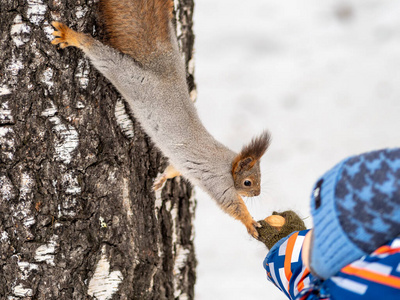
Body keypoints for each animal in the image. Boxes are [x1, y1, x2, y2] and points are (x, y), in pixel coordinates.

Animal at [49, 0, 268, 239]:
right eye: (248, 182)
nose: (257, 193)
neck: (228, 165)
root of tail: (164, 69)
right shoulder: (219, 183)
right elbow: (232, 206)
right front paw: (250, 222)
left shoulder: (182, 164)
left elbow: (173, 168)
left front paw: (162, 180)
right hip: (131, 79)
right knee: (103, 57)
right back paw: (72, 37)